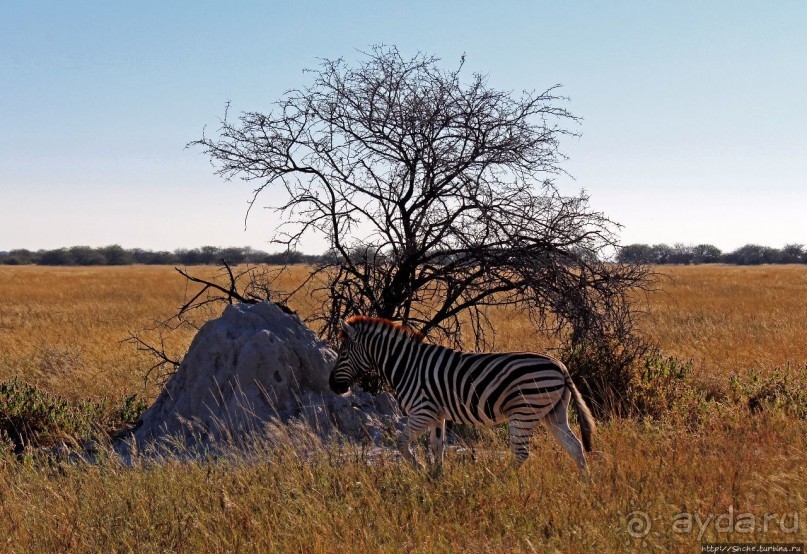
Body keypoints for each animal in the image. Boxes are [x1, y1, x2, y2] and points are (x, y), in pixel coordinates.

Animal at [326, 314, 596, 470]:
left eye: (342, 353)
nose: (333, 387)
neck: (406, 365)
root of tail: (560, 366)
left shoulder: (422, 411)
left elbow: (402, 443)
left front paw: (421, 471)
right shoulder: (437, 414)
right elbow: (437, 448)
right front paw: (436, 479)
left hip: (525, 411)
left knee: (521, 453)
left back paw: (499, 481)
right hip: (553, 413)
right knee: (574, 446)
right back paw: (585, 484)